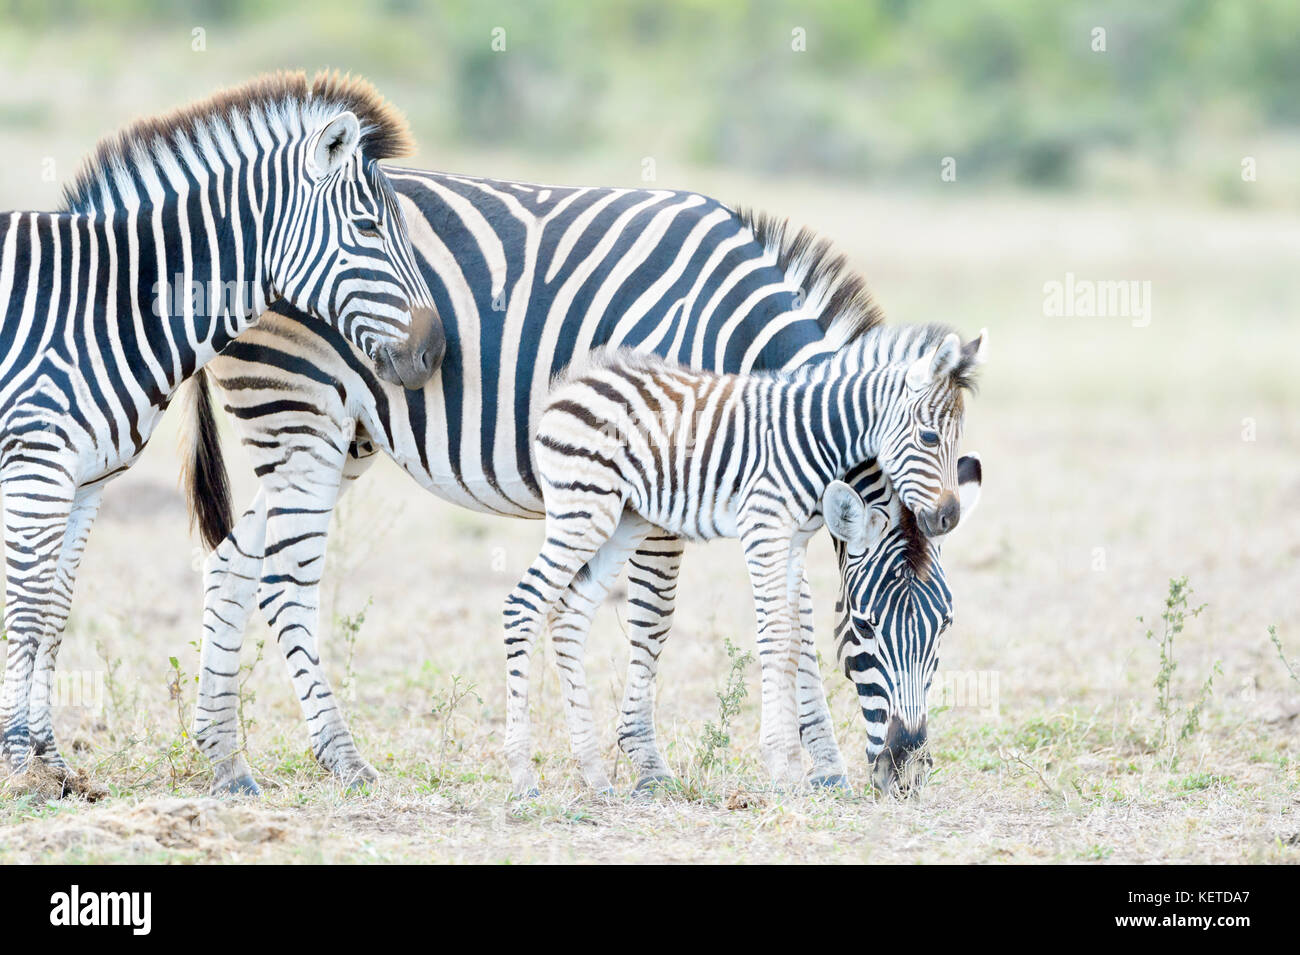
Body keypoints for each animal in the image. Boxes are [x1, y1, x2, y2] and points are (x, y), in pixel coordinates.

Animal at [0, 71, 442, 783]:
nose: (437, 353)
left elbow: (55, 608)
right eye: (368, 227)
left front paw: (51, 759)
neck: (106, 304)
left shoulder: (86, 479)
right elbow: (26, 604)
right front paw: (18, 761)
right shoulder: (37, 463)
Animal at [508, 328, 985, 795]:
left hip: (622, 520)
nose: (948, 516)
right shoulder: (763, 526)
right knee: (523, 604)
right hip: (584, 509)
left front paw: (794, 767)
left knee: (569, 613)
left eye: (945, 626)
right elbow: (775, 636)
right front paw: (781, 768)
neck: (815, 432)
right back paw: (524, 778)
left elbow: (793, 641)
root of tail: (571, 385)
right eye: (865, 627)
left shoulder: (794, 539)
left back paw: (593, 774)